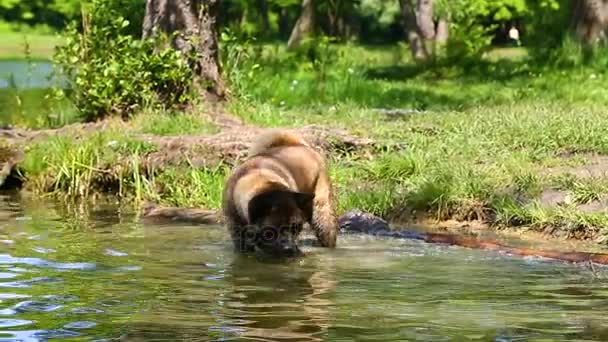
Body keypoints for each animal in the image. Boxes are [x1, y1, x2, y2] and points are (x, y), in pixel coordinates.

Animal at [222, 130, 340, 258]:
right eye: (270, 232)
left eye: (295, 228)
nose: (289, 248)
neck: (258, 176)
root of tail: (299, 145)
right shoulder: (239, 237)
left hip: (322, 216)